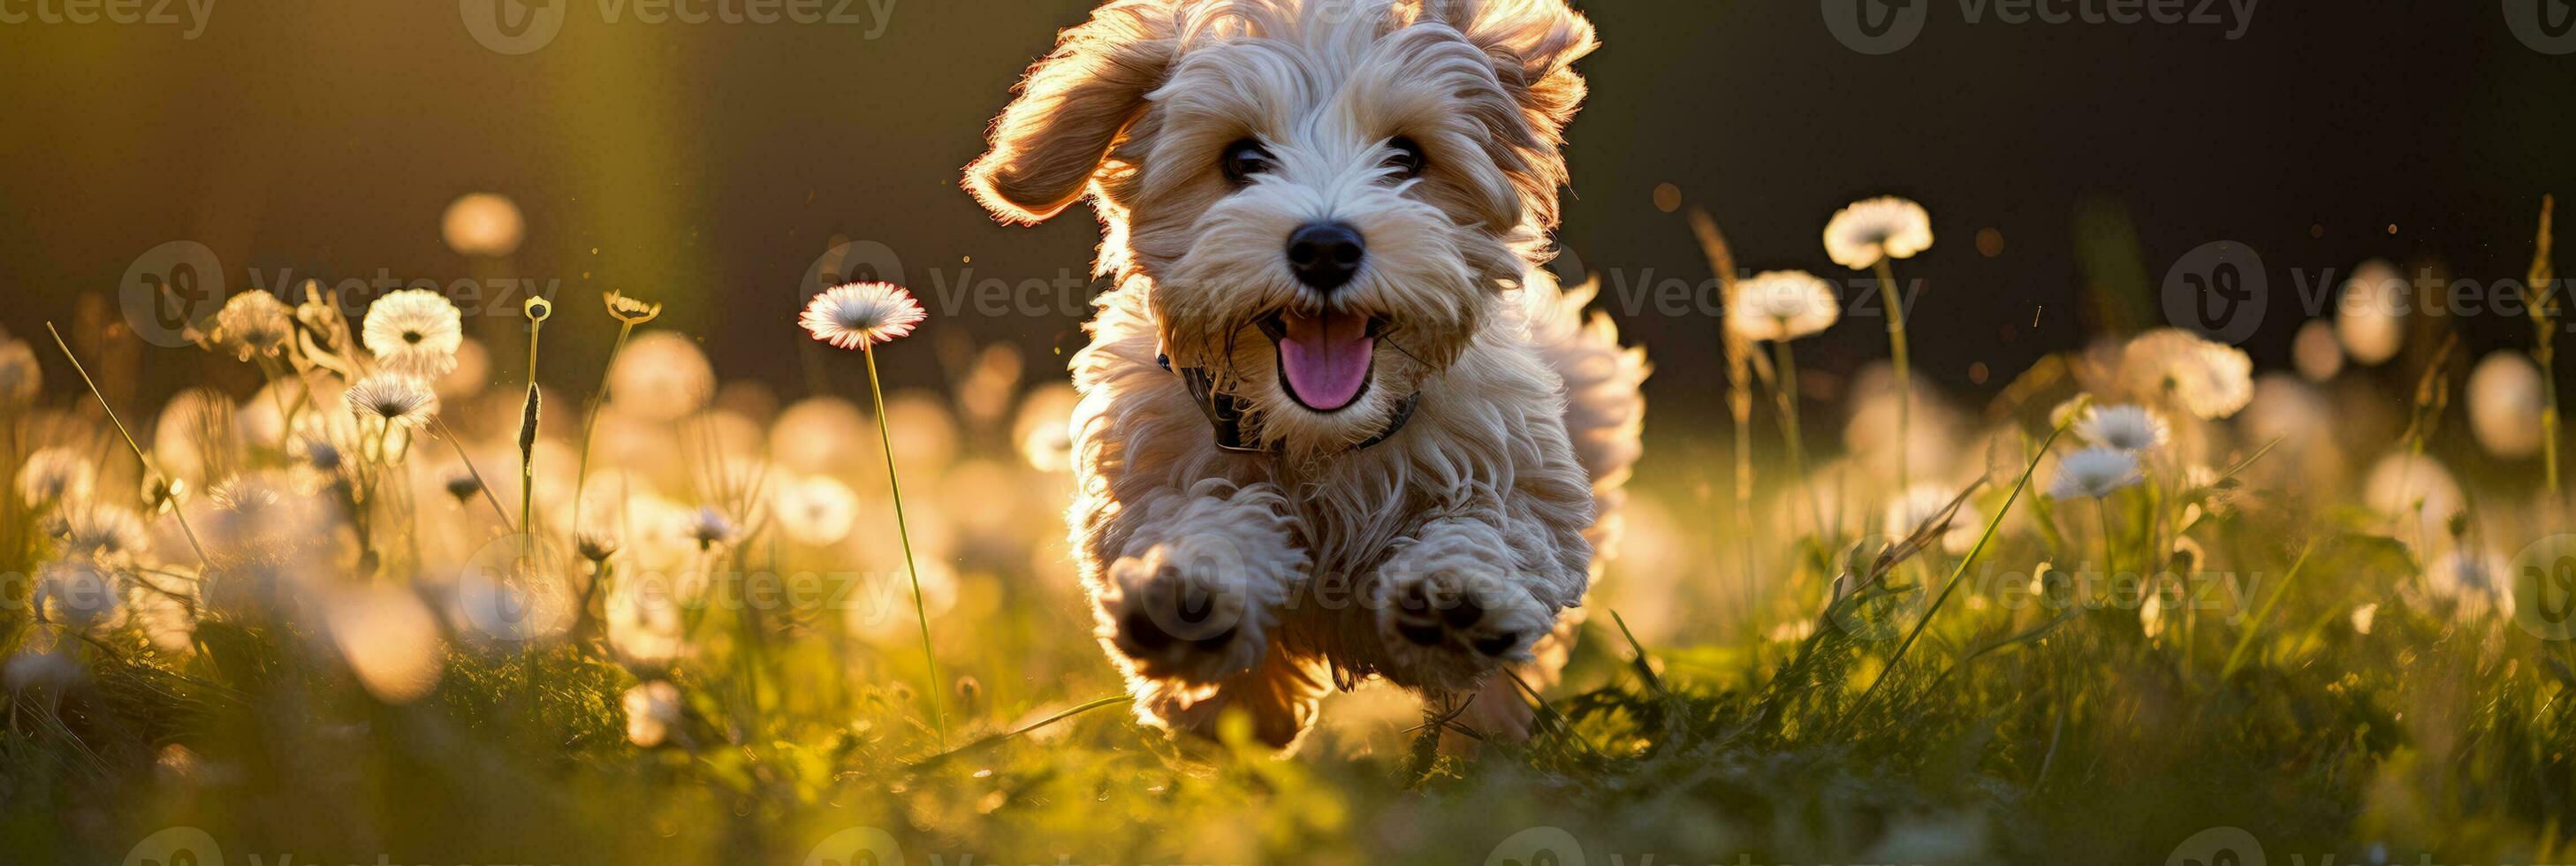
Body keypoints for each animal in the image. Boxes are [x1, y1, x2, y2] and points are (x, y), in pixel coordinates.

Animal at [969, 0, 1648, 747]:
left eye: (1405, 157)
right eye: (1241, 160)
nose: (1325, 246)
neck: (1322, 436)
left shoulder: (1526, 469)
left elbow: (1502, 524)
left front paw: (1459, 592)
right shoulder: (1145, 474)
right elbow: (1196, 518)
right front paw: (1195, 586)